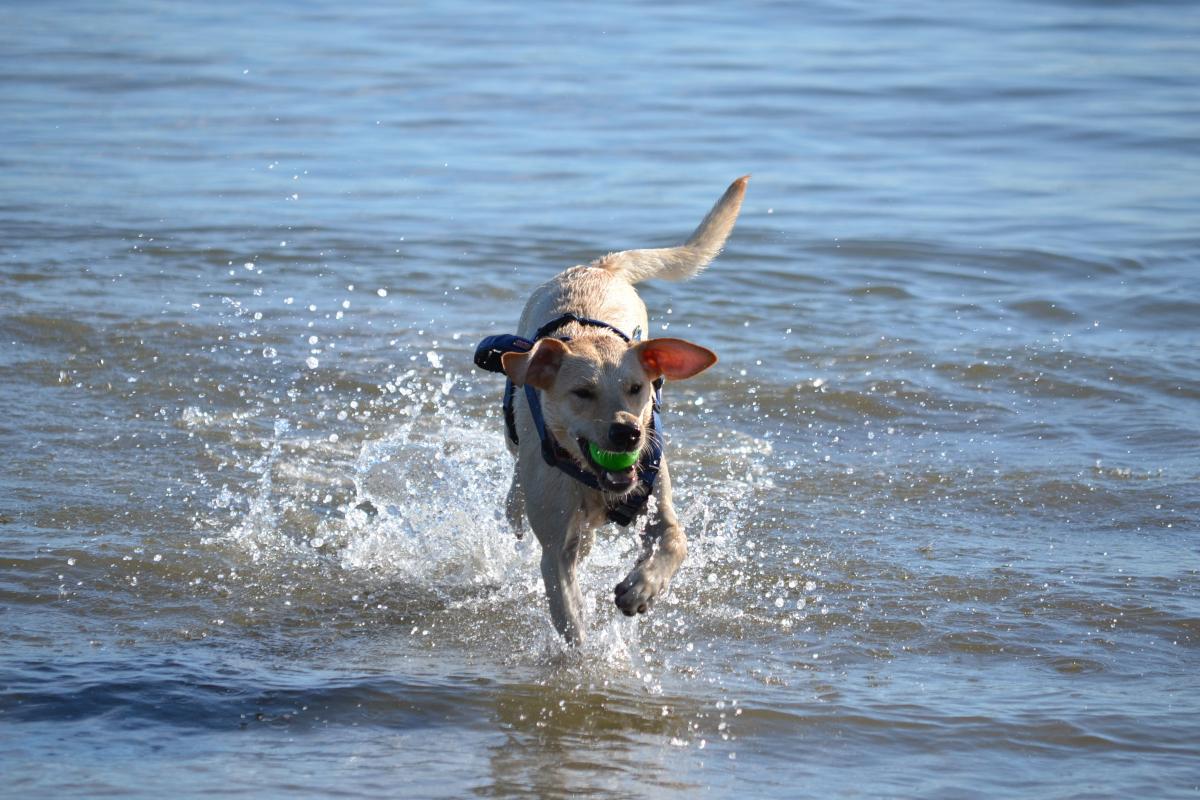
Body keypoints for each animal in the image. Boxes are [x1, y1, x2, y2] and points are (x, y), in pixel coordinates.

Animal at [472, 176, 744, 642]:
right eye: (582, 393)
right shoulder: (556, 546)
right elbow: (570, 612)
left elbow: (676, 539)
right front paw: (590, 655)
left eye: (637, 389)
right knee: (519, 490)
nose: (626, 433)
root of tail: (598, 266)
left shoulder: (656, 494)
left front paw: (641, 588)